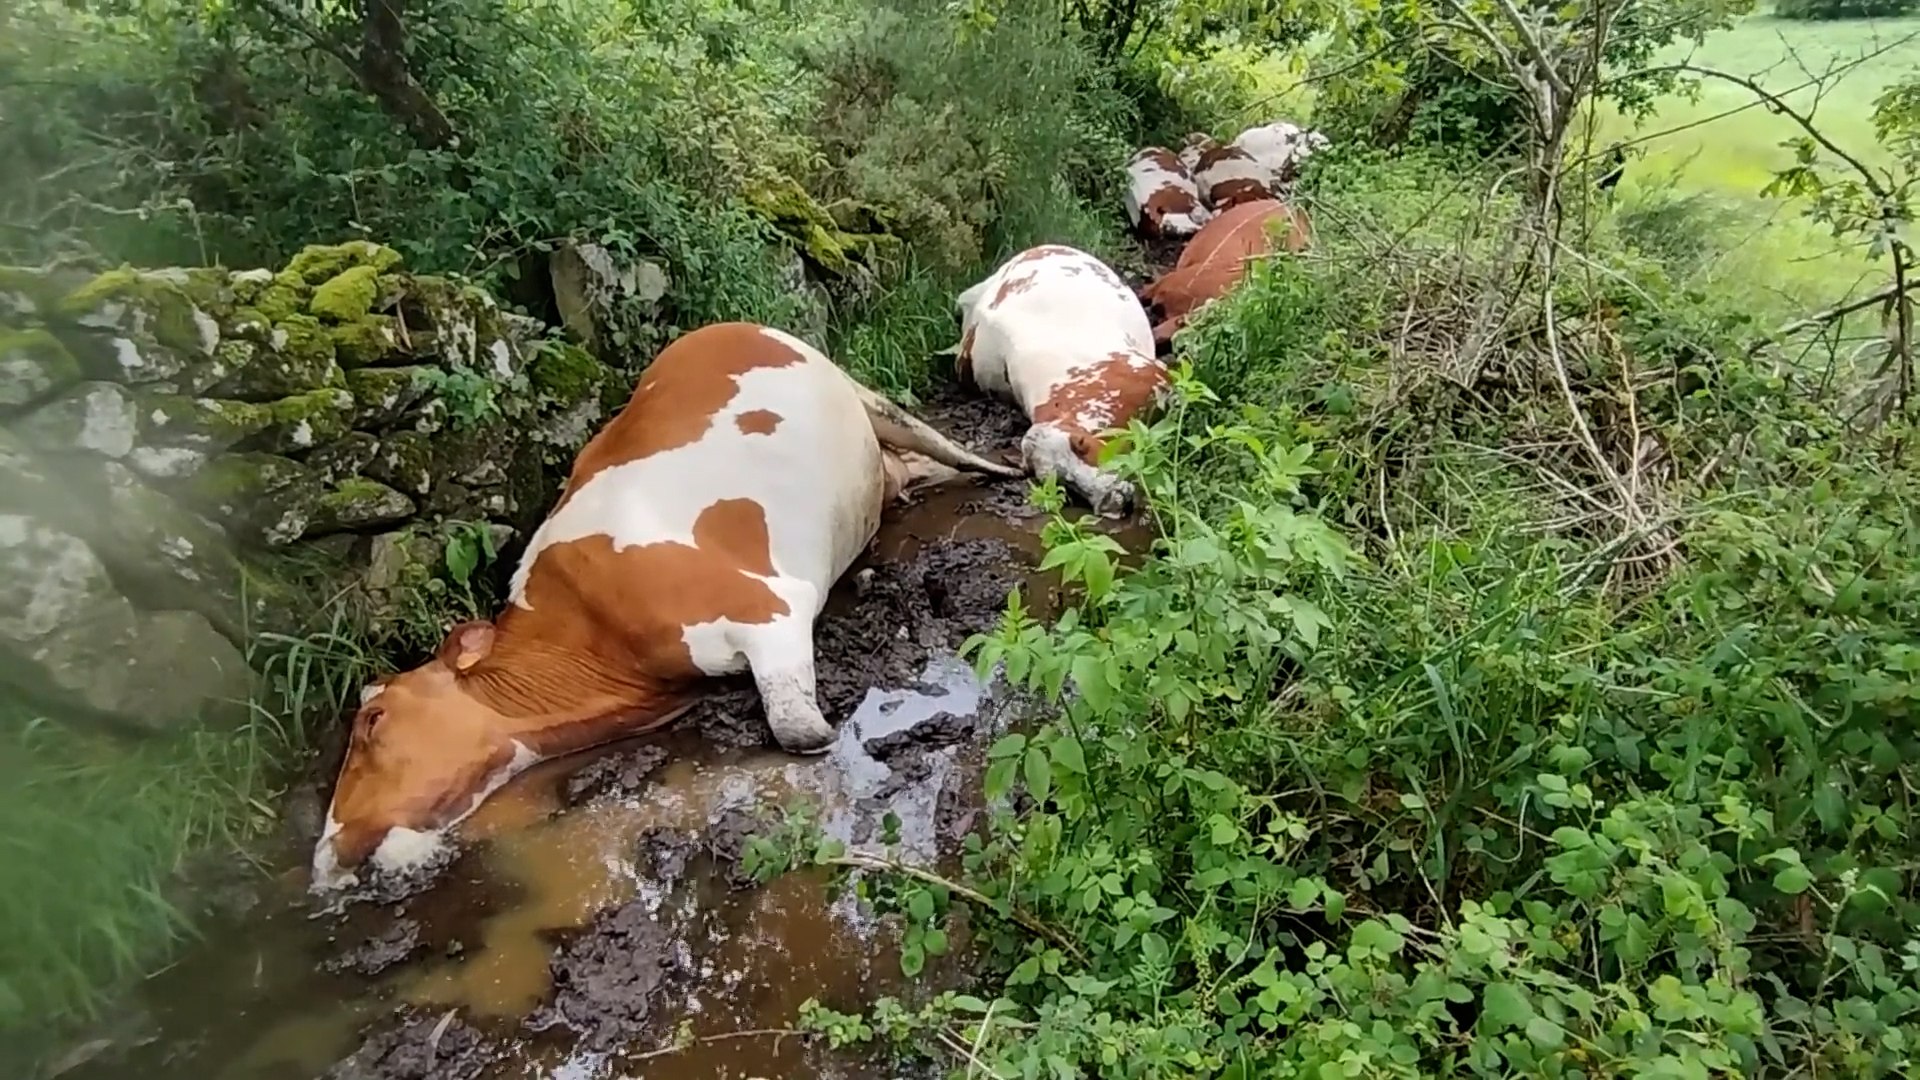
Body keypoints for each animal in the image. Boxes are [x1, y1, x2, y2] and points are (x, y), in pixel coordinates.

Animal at [310, 322, 1019, 891]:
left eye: (372, 718)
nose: (325, 855)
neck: (596, 648)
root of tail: (722, 326)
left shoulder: (767, 606)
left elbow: (798, 730)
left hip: (863, 394)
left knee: (943, 443)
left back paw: (1010, 471)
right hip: (876, 464)